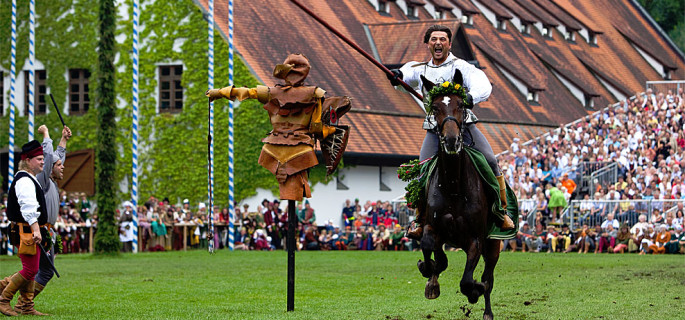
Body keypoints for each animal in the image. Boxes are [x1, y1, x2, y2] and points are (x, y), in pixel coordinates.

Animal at [414, 72, 500, 320]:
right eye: (434, 107)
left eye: (461, 104)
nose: (452, 140)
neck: (453, 186)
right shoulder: (434, 228)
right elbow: (430, 249)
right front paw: (430, 276)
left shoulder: (475, 239)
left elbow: (468, 281)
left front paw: (474, 291)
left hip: (494, 245)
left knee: (488, 277)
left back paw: (487, 310)